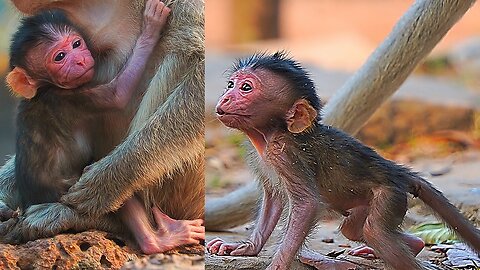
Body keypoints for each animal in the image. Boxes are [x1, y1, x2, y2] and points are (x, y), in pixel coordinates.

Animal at [6, 0, 204, 253]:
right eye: (59, 56)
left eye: (77, 44)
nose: (80, 60)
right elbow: (117, 94)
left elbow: (198, 71)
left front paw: (107, 182)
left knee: (180, 54)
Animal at [208, 51, 480, 268]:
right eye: (230, 84)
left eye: (246, 88)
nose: (224, 98)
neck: (271, 134)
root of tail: (396, 171)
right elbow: (273, 201)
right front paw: (246, 248)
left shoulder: (284, 155)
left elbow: (307, 204)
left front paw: (278, 264)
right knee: (354, 228)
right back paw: (413, 244)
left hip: (390, 195)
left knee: (374, 231)